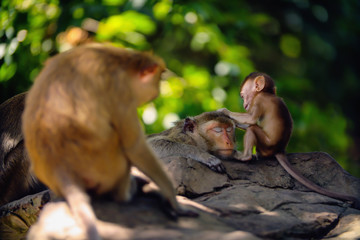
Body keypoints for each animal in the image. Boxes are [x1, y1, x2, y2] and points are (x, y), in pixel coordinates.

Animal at [21, 43, 197, 240]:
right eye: (157, 80)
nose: (158, 91)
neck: (122, 63)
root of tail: (60, 168)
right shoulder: (122, 92)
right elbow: (134, 146)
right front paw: (175, 202)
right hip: (107, 168)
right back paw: (127, 192)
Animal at [218, 72, 360, 209]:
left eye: (242, 96)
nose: (244, 104)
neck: (266, 93)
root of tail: (280, 149)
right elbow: (250, 122)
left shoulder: (259, 100)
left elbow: (251, 119)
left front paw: (224, 111)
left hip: (267, 145)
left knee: (253, 129)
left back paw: (245, 156)